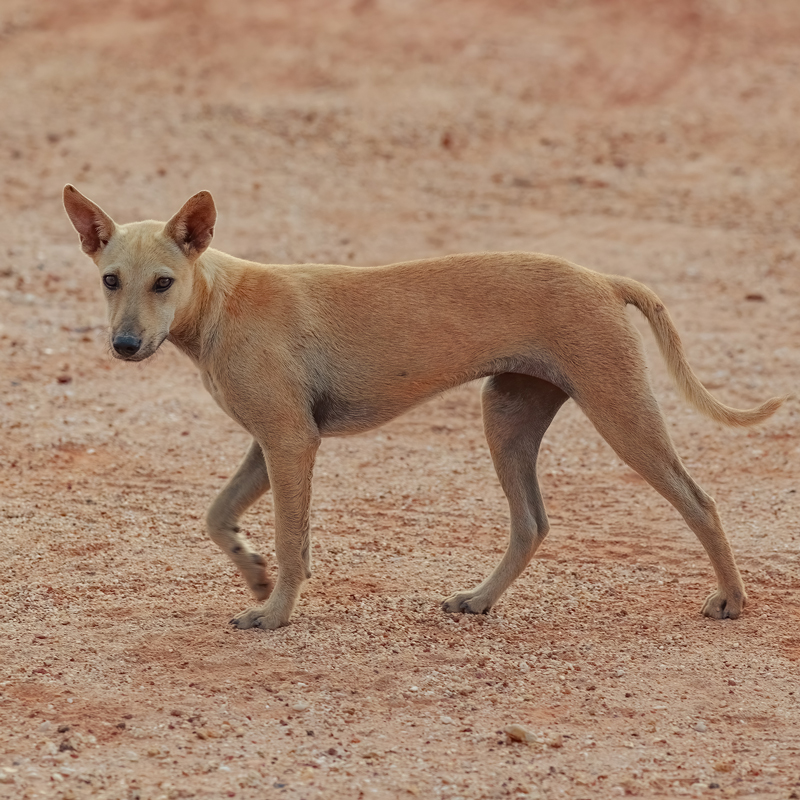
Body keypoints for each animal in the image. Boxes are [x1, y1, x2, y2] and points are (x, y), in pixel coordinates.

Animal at [64, 184, 788, 628]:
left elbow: (293, 539)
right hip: (509, 417)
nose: (125, 344)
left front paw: (275, 612)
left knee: (700, 501)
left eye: (164, 283)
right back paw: (481, 599)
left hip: (619, 412)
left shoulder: (291, 443)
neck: (220, 298)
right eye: (110, 280)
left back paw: (733, 598)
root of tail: (603, 280)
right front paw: (254, 575)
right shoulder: (270, 443)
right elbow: (218, 517)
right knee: (531, 524)